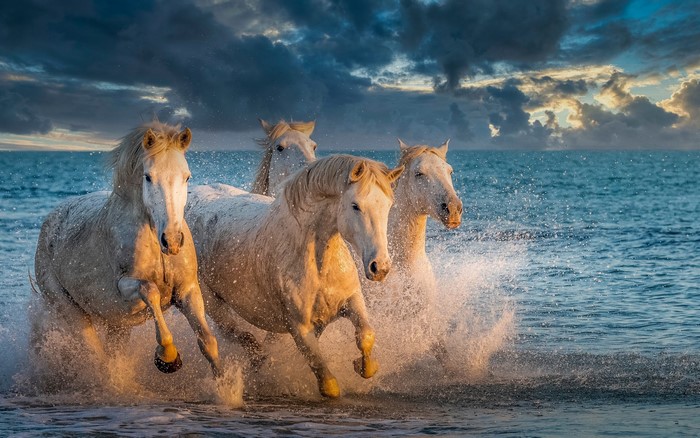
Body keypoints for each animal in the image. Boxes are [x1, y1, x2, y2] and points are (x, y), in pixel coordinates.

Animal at [33, 122, 222, 379]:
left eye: (187, 177)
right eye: (148, 177)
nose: (172, 241)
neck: (154, 239)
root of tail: (50, 222)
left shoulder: (187, 289)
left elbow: (208, 342)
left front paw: (228, 387)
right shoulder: (124, 285)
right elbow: (150, 291)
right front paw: (168, 357)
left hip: (117, 324)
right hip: (70, 311)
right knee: (96, 357)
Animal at [185, 155, 404, 398]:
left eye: (388, 205)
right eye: (355, 205)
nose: (380, 267)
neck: (318, 264)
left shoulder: (351, 301)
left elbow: (366, 334)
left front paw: (365, 367)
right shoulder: (299, 327)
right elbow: (328, 383)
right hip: (210, 303)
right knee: (236, 334)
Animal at [364, 139, 463, 364]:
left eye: (450, 171)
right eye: (419, 173)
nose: (453, 209)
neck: (402, 262)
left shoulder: (422, 316)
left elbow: (441, 350)